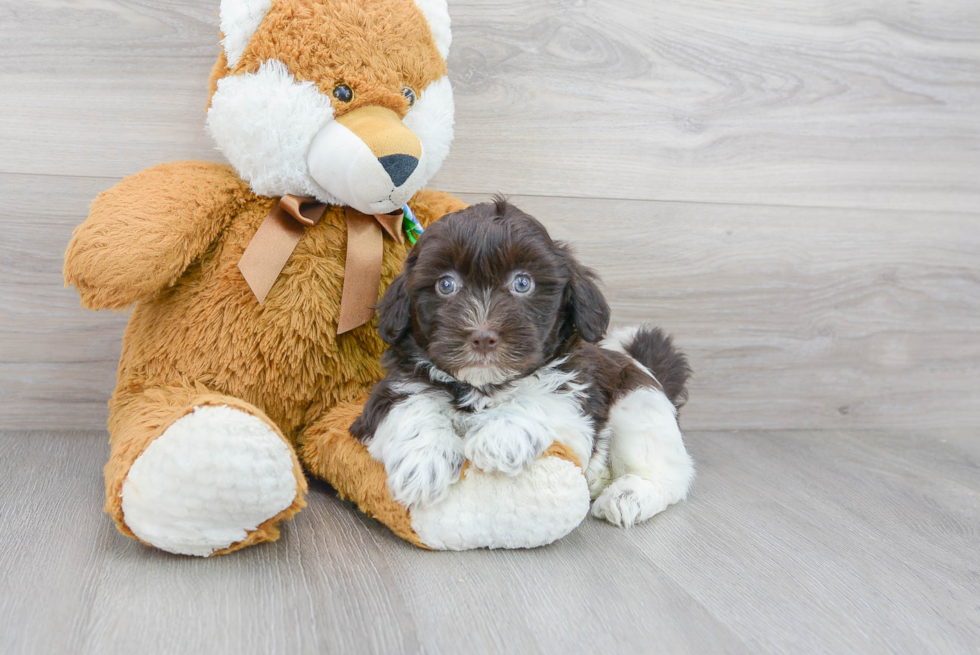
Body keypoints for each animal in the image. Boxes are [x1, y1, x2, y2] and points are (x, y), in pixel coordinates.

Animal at [348, 199, 692, 528]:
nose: (483, 336)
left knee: (668, 470)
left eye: (523, 283)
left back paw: (628, 494)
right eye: (445, 285)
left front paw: (500, 435)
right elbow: (409, 407)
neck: (484, 386)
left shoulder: (577, 400)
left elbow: (542, 398)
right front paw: (424, 462)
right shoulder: (393, 389)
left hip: (639, 402)